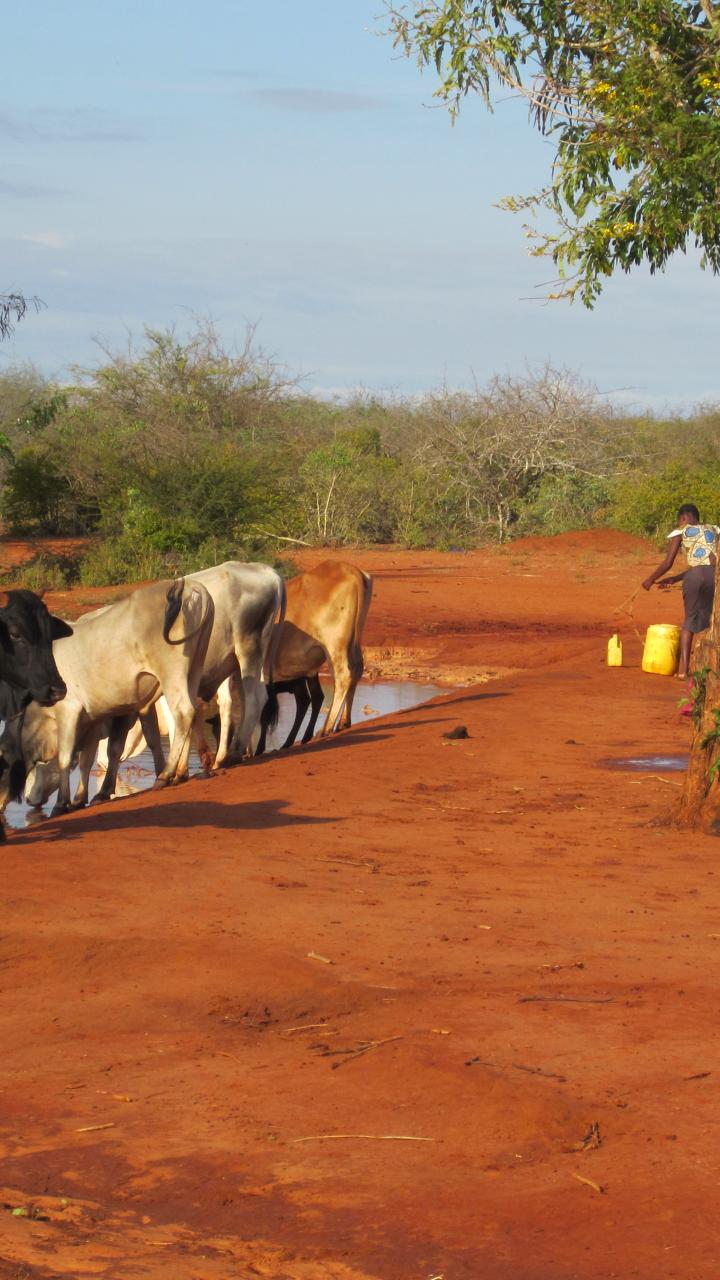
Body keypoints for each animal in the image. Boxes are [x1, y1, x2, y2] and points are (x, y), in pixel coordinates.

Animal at [255, 561, 372, 754]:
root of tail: (353, 571)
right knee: (357, 670)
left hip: (334, 645)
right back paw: (343, 722)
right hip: (354, 639)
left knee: (343, 676)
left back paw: (325, 728)